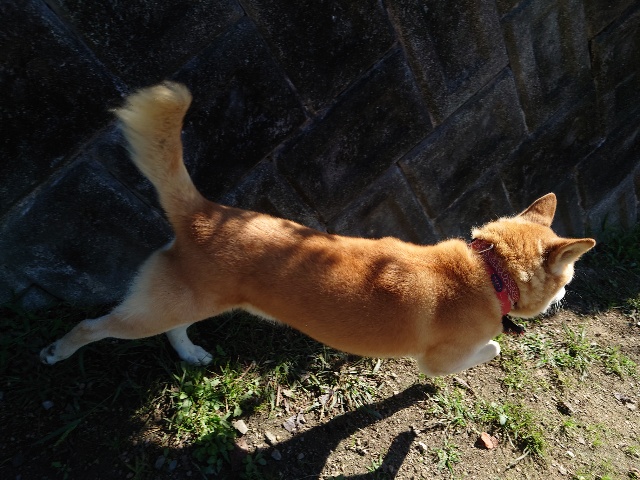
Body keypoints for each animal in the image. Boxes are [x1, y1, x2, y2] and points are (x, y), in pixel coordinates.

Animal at [40, 82, 595, 376]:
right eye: (569, 278)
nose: (569, 297)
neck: (487, 269)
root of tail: (202, 210)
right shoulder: (441, 360)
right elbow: (488, 350)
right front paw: (497, 348)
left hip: (184, 302)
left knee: (175, 328)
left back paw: (191, 353)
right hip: (154, 309)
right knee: (91, 326)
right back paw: (56, 351)